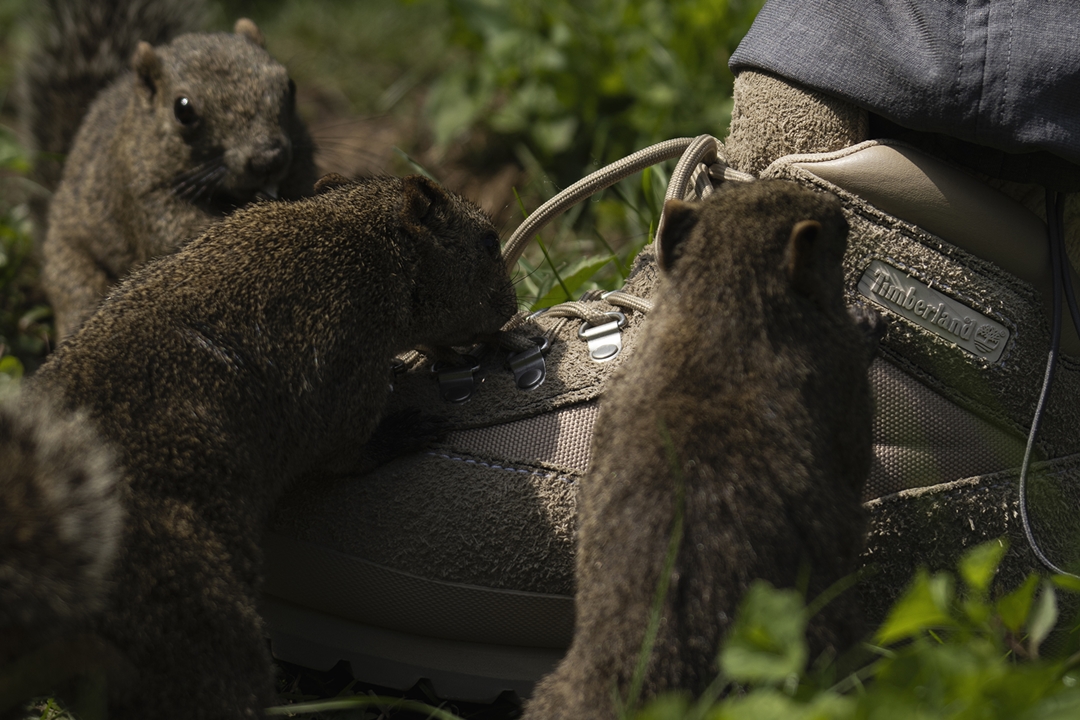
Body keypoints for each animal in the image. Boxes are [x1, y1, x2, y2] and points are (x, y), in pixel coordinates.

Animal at [6, 172, 516, 716]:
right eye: (489, 242)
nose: (513, 309)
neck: (370, 242)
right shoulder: (347, 365)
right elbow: (346, 454)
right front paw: (403, 430)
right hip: (195, 615)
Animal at [17, 0, 315, 343]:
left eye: (289, 85)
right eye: (183, 110)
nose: (268, 159)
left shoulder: (301, 156)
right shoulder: (141, 191)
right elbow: (177, 236)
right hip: (71, 269)